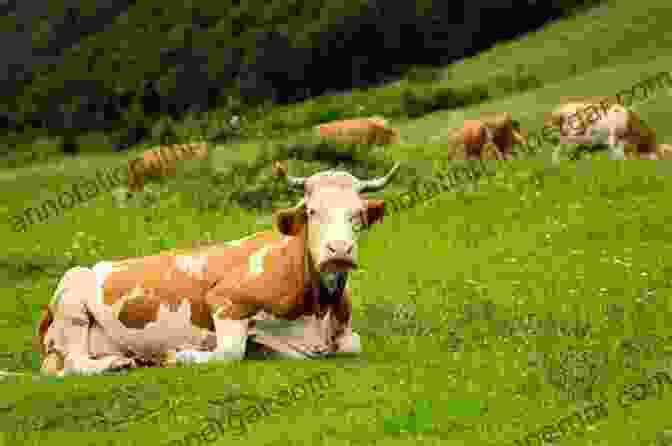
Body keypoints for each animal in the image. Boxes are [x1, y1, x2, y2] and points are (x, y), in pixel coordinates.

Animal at [35, 161, 400, 376]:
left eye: (358, 214)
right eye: (311, 211)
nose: (339, 251)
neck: (317, 307)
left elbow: (351, 344)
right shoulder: (225, 299)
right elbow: (230, 352)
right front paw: (179, 357)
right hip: (72, 305)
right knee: (76, 364)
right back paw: (116, 364)